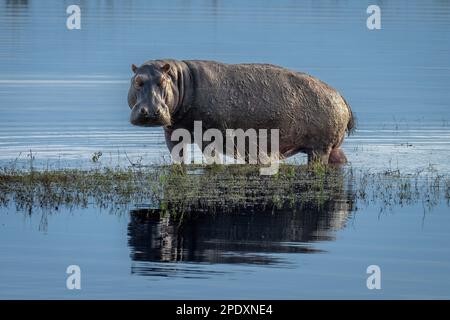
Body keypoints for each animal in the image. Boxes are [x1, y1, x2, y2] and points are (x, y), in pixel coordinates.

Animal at [127, 59, 356, 165]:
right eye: (137, 81)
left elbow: (212, 158)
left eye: (161, 81)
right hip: (332, 148)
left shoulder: (209, 134)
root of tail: (341, 96)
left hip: (319, 148)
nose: (151, 111)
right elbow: (178, 156)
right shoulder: (172, 132)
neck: (181, 80)